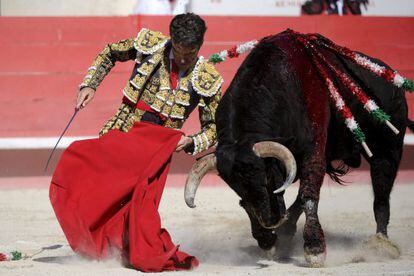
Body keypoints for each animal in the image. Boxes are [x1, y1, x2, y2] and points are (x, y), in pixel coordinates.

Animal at [184, 30, 414, 266]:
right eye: (236, 187)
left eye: (266, 177)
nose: (269, 221)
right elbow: (274, 200)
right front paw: (269, 242)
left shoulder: (313, 151)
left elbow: (308, 195)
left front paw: (314, 249)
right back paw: (286, 233)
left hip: (388, 149)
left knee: (381, 195)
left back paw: (382, 245)